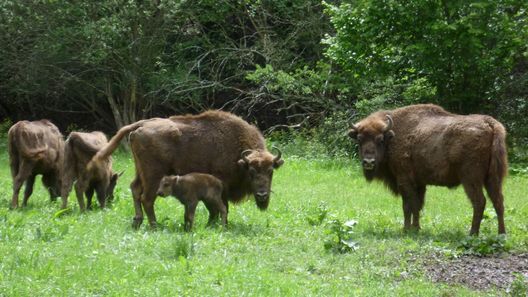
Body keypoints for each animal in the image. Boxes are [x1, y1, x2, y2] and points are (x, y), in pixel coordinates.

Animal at [88, 110, 282, 228]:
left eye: (270, 171)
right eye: (252, 171)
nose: (262, 195)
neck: (240, 158)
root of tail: (142, 125)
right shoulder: (221, 186)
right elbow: (221, 206)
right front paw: (219, 225)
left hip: (139, 170)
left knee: (135, 189)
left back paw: (137, 222)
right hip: (153, 175)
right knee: (147, 198)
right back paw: (154, 225)